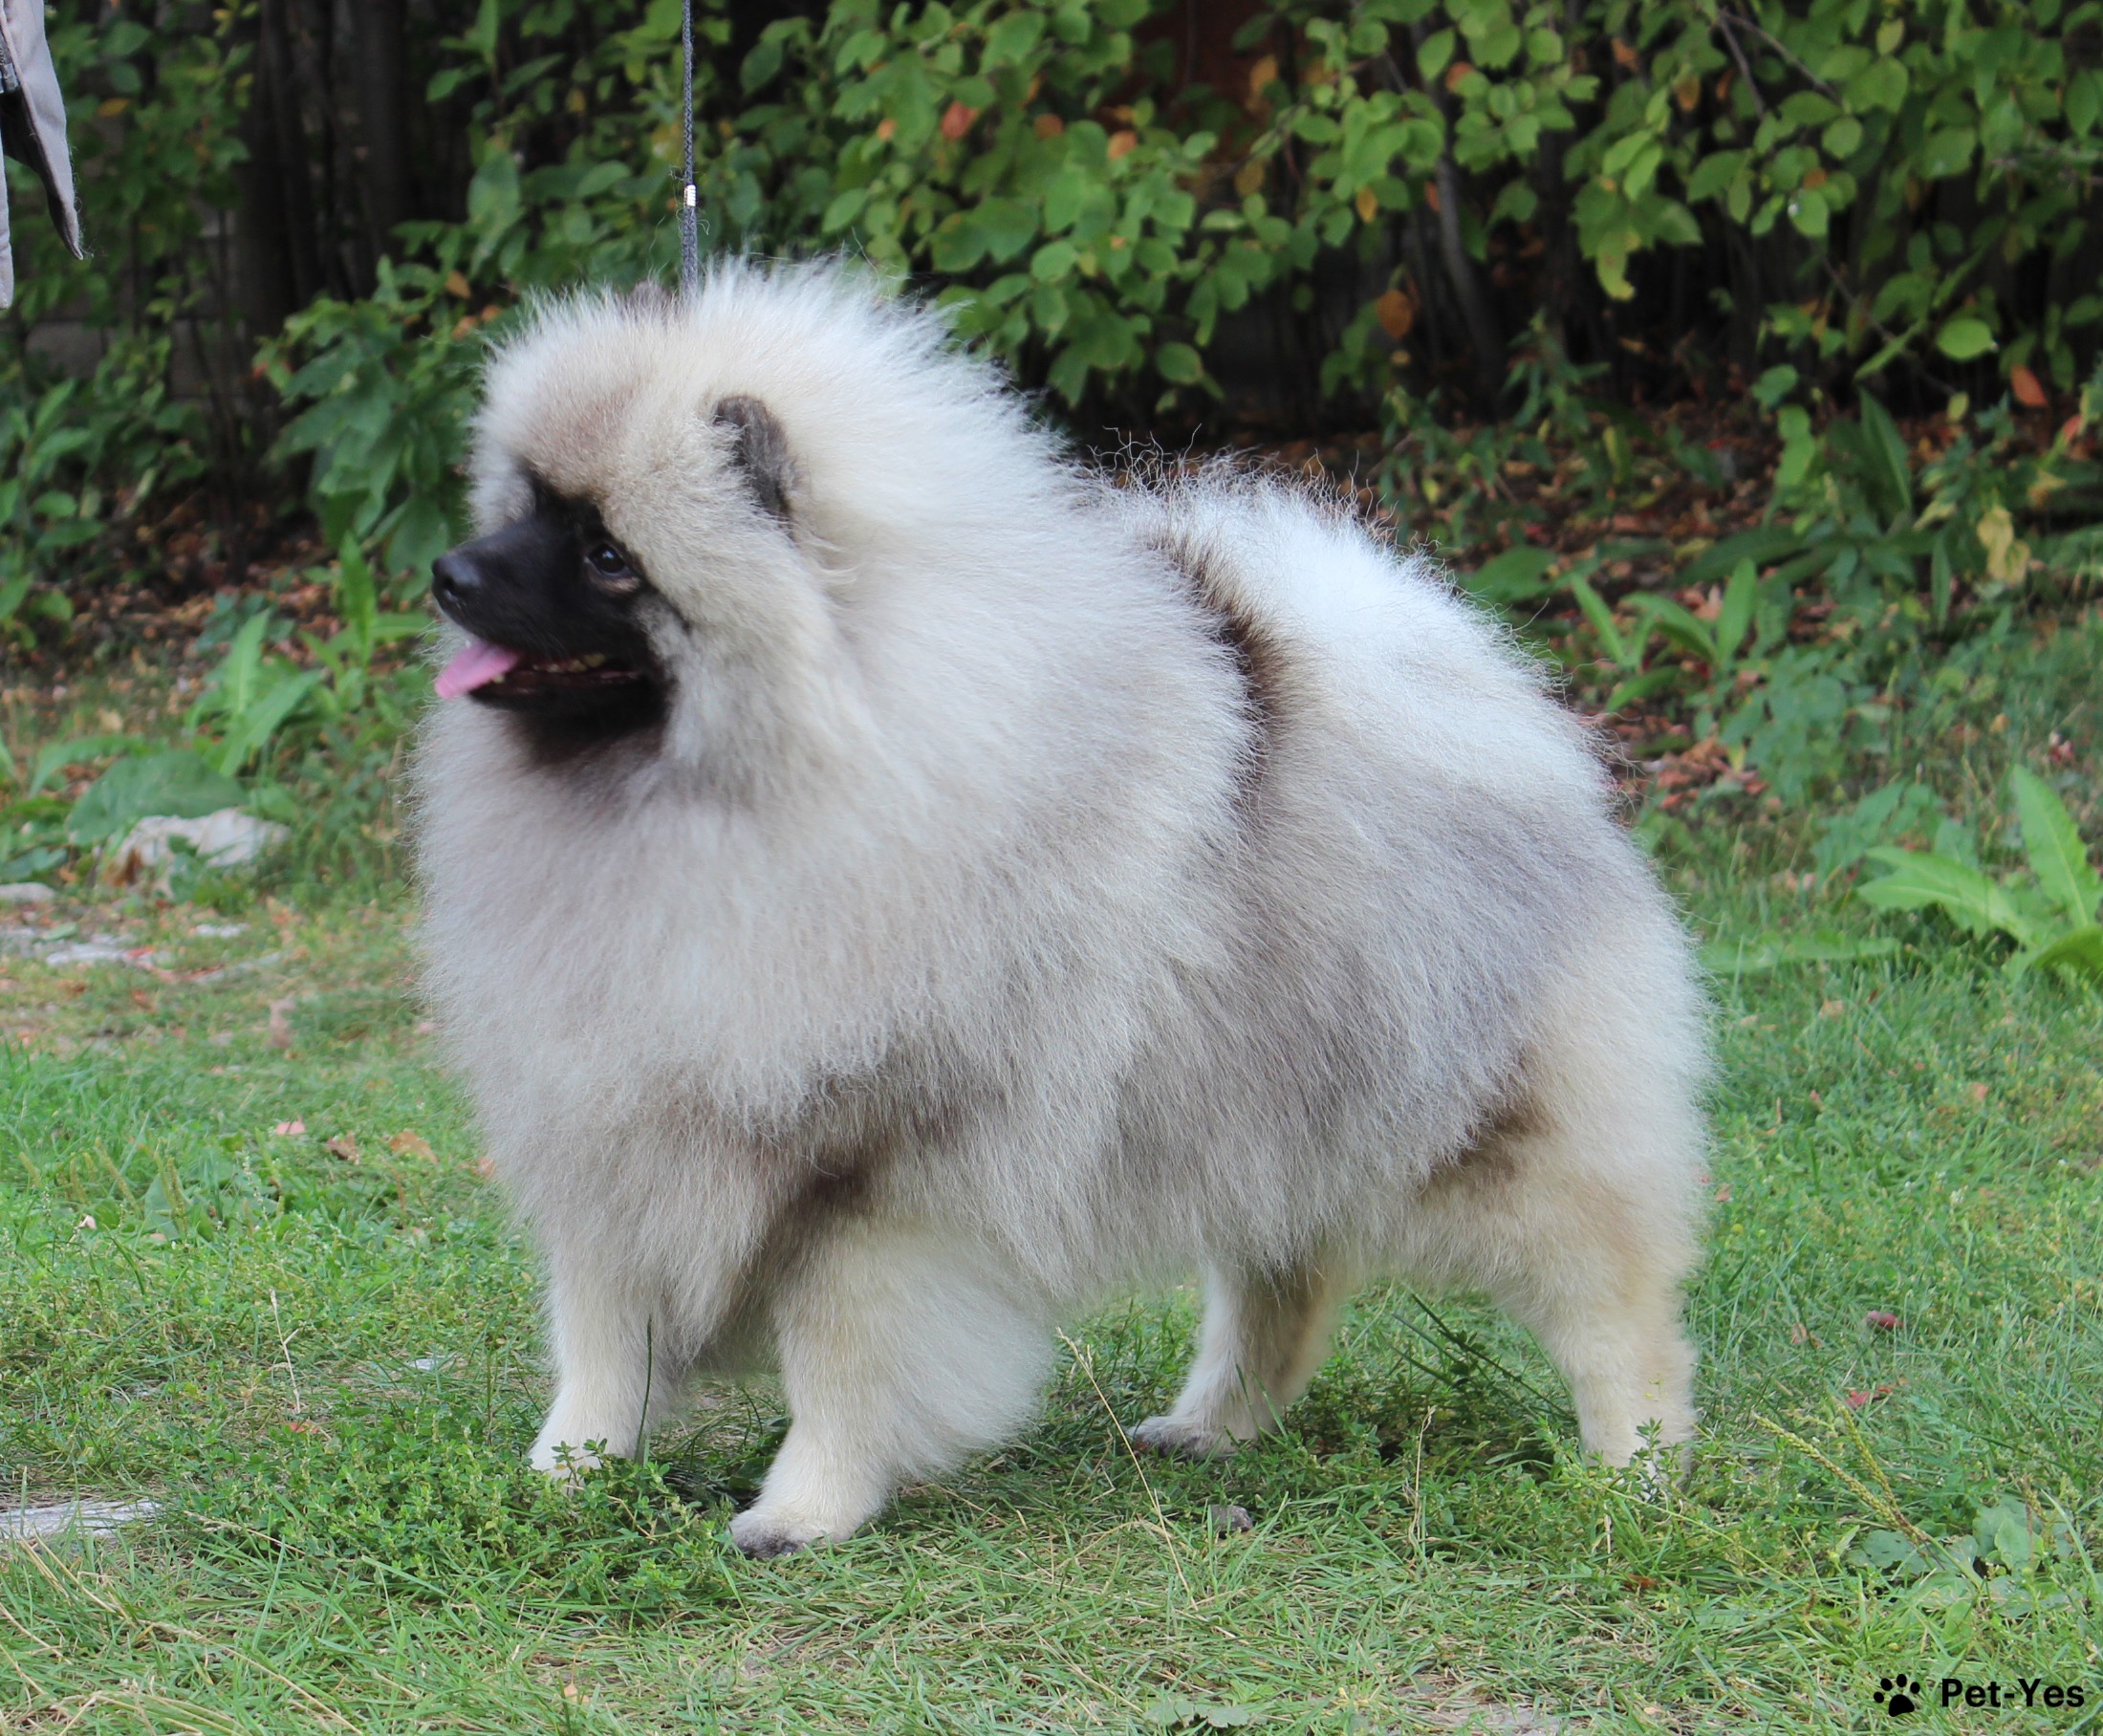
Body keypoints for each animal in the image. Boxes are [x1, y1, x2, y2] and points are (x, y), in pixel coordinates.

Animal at [414, 260, 1707, 1556]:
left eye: (606, 552)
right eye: (523, 506)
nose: (452, 572)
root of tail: (1494, 719)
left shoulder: (870, 1181)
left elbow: (838, 1360)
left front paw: (801, 1509)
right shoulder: (617, 1129)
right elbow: (601, 1341)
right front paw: (563, 1476)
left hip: (1493, 1138)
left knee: (1613, 1307)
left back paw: (1635, 1474)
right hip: (1267, 1112)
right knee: (1282, 1287)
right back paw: (1210, 1427)